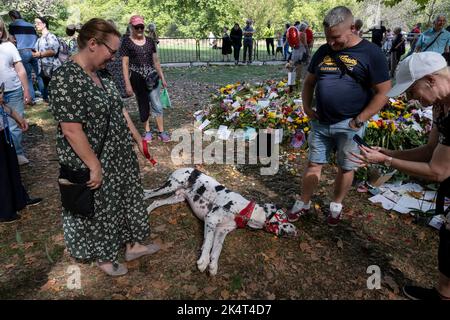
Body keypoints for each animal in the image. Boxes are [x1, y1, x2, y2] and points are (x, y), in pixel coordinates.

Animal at [145, 168, 298, 276]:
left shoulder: (221, 231)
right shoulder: (210, 219)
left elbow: (217, 248)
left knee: (156, 201)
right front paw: (204, 261)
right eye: (284, 216)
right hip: (170, 186)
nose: (296, 231)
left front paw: (213, 265)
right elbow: (208, 243)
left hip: (177, 197)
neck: (243, 211)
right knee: (148, 193)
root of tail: (182, 167)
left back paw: (147, 211)